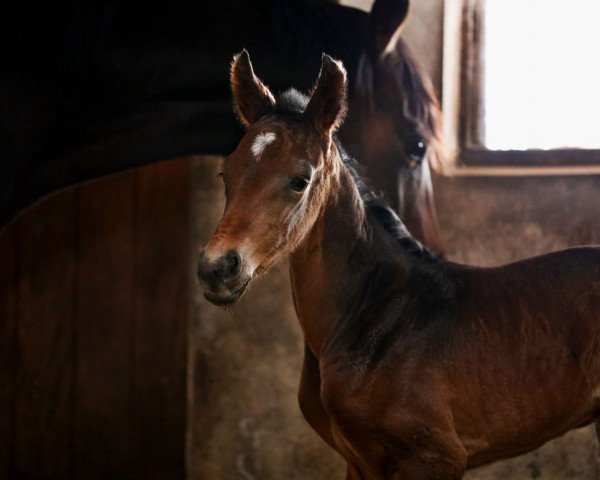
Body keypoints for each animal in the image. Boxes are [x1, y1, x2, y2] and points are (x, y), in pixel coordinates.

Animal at [197, 52, 600, 480]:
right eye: (226, 173)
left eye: (300, 180)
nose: (216, 268)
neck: (379, 314)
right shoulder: (358, 464)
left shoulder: (436, 459)